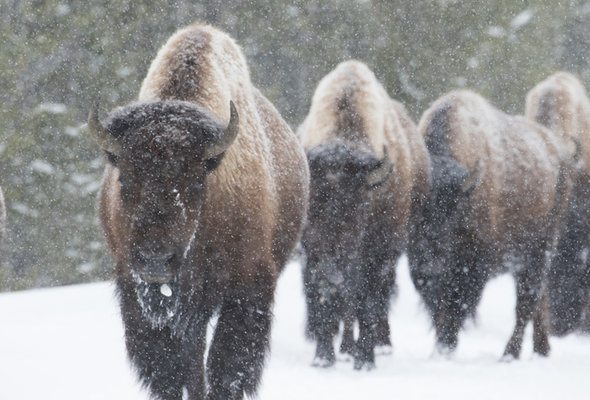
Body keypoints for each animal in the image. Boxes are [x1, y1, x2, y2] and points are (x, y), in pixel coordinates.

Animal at [89, 25, 310, 400]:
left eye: (195, 181)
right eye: (124, 178)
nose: (155, 260)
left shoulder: (246, 287)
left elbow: (226, 365)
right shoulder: (136, 293)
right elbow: (167, 369)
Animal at [300, 61, 430, 370]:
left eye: (360, 205)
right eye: (314, 204)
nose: (336, 268)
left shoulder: (378, 252)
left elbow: (368, 299)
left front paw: (365, 358)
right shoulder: (314, 250)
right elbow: (326, 296)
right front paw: (323, 357)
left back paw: (375, 346)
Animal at [412, 90, 572, 360]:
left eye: (454, 213)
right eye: (416, 213)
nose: (431, 266)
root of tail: (557, 154)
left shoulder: (473, 266)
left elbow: (456, 307)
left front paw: (445, 348)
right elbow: (440, 309)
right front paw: (439, 351)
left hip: (540, 250)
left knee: (526, 303)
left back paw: (510, 354)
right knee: (538, 301)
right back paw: (541, 350)